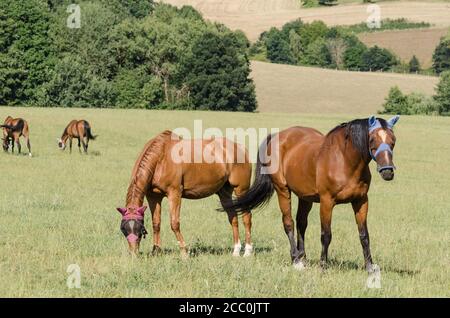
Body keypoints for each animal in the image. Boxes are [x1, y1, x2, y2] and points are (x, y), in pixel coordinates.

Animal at [116, 130, 253, 258]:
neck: (161, 158)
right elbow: (156, 223)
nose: (133, 254)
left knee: (247, 218)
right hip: (224, 192)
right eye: (124, 229)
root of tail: (241, 148)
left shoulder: (174, 193)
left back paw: (247, 251)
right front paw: (156, 251)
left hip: (241, 190)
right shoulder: (153, 197)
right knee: (233, 217)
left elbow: (174, 223)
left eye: (139, 229)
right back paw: (236, 251)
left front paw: (184, 252)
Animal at [224, 115, 400, 272]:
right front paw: (323, 266)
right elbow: (326, 235)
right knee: (289, 223)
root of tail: (276, 136)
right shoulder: (327, 202)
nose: (387, 172)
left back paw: (302, 257)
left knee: (301, 223)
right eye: (372, 139)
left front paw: (370, 267)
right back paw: (296, 260)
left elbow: (364, 235)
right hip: (283, 190)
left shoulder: (361, 201)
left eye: (393, 140)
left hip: (305, 197)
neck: (345, 160)